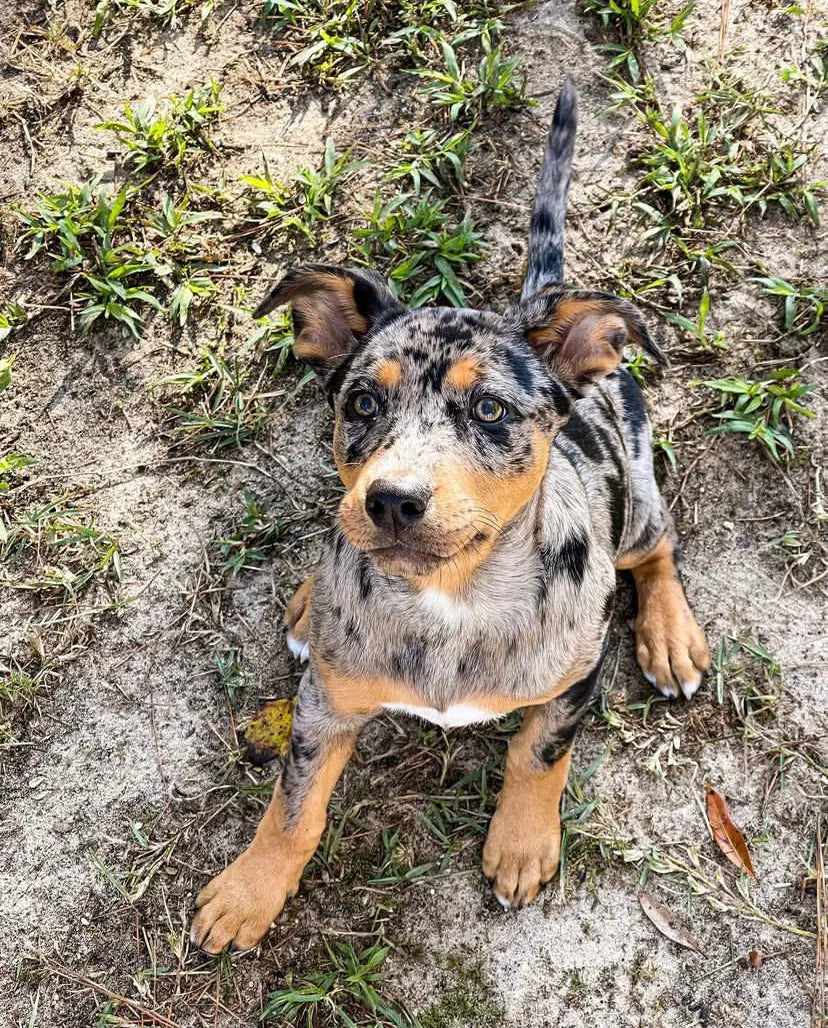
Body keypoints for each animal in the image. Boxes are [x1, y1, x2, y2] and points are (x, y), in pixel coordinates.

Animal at [190, 80, 707, 953]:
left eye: (491, 409)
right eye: (363, 403)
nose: (392, 501)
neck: (453, 599)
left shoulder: (575, 677)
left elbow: (539, 756)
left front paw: (522, 846)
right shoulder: (323, 705)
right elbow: (293, 805)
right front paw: (248, 891)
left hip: (635, 491)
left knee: (656, 546)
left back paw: (671, 637)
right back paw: (307, 600)